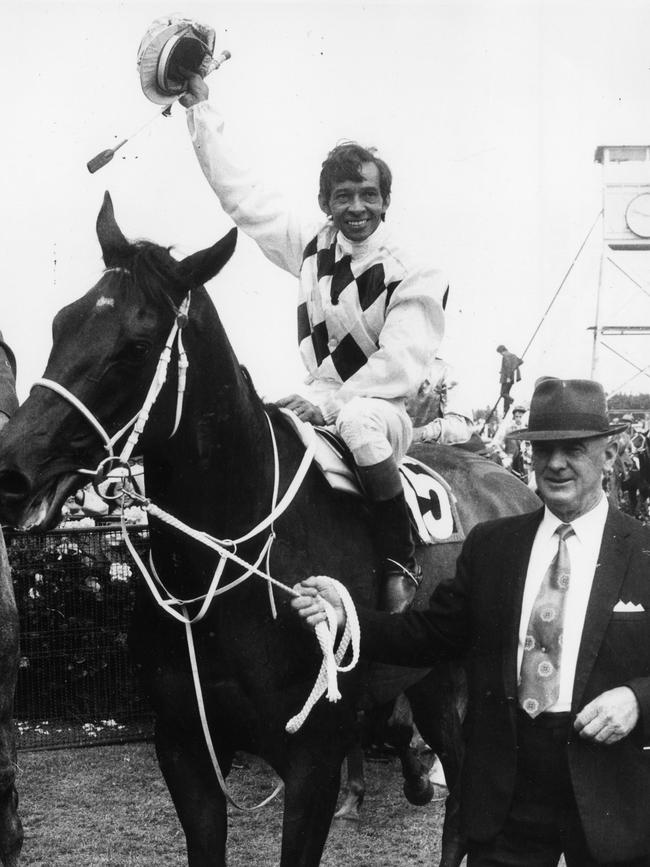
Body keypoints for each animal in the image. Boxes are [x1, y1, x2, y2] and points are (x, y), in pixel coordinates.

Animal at [0, 193, 536, 864]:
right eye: (58, 324)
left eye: (137, 345)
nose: (10, 470)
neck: (224, 576)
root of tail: (514, 484)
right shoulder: (185, 749)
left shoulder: (312, 759)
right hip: (434, 678)